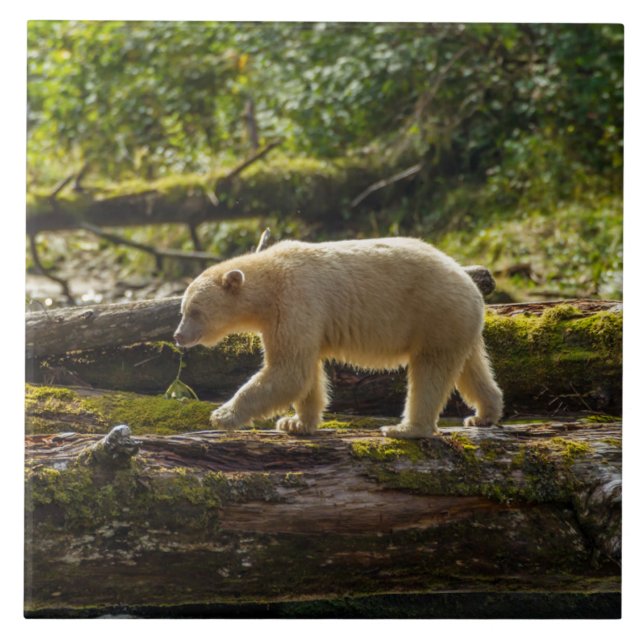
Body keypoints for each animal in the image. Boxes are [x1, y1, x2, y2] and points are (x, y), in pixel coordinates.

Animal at [173, 237, 503, 438]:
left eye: (195, 310)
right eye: (182, 309)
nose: (178, 335)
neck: (269, 281)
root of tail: (471, 285)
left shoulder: (296, 300)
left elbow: (288, 371)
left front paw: (222, 415)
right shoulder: (290, 317)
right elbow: (305, 373)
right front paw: (296, 423)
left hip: (434, 314)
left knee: (429, 373)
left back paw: (405, 428)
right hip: (457, 324)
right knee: (472, 368)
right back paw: (484, 414)